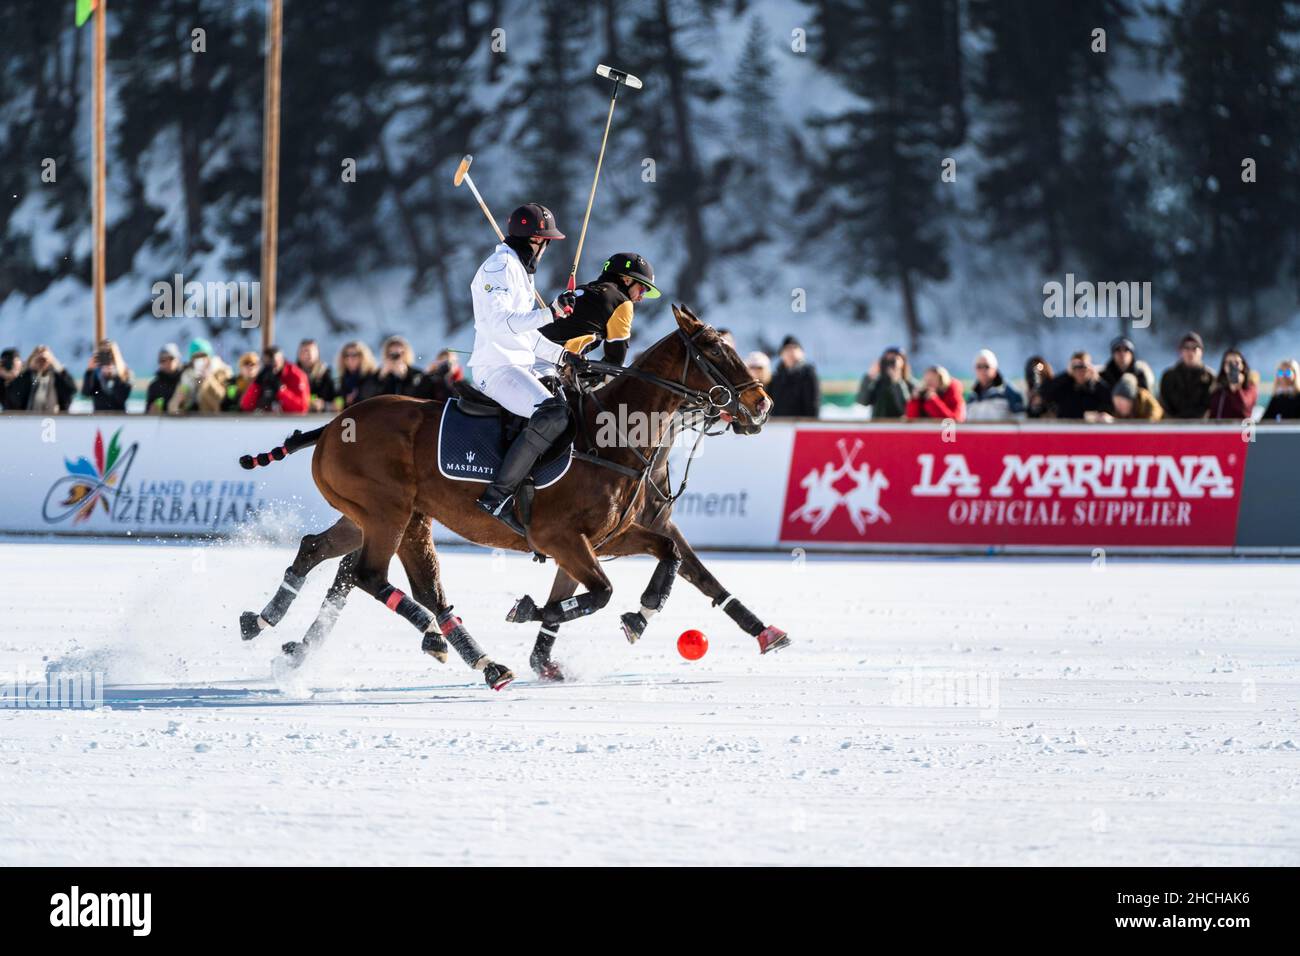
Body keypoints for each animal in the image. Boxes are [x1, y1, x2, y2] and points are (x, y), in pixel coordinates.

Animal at [236, 306, 769, 686]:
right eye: (713, 350)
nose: (762, 403)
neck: (611, 437)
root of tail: (332, 425)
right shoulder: (561, 537)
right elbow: (600, 592)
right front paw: (531, 611)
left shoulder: (606, 536)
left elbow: (670, 554)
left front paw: (641, 614)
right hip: (387, 512)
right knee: (369, 574)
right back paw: (440, 641)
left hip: (385, 515)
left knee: (330, 555)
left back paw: (267, 623)